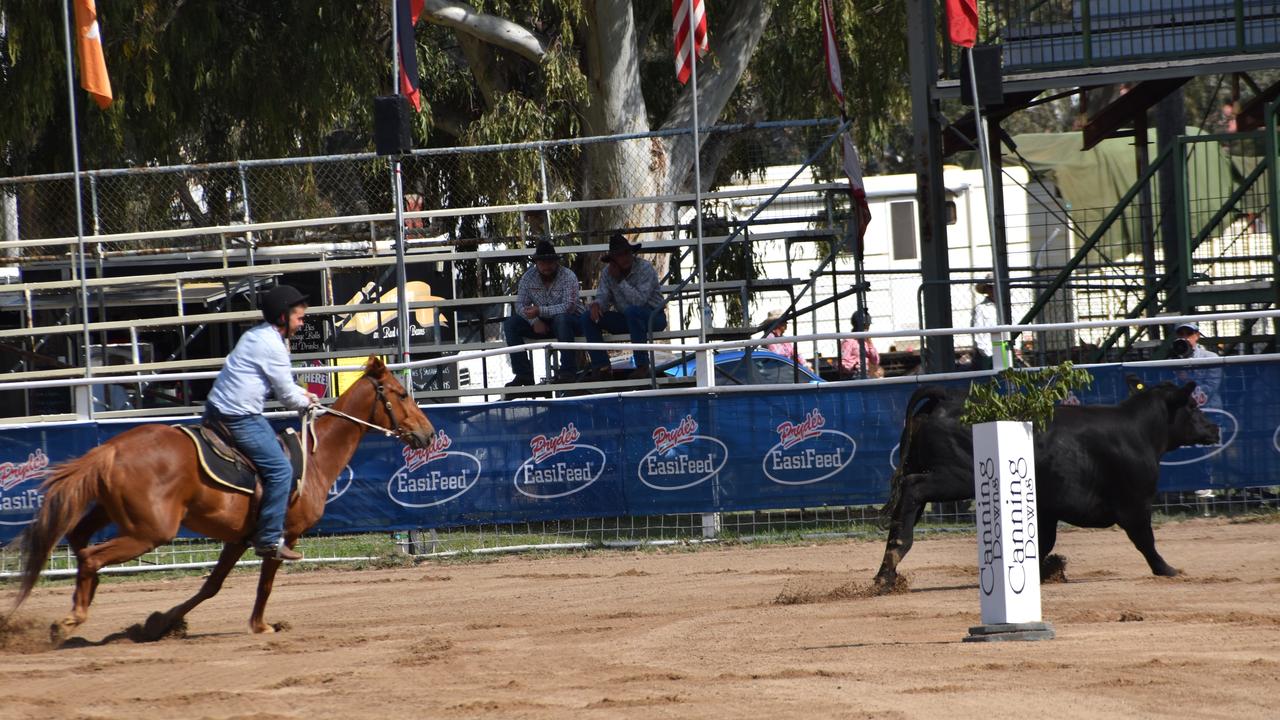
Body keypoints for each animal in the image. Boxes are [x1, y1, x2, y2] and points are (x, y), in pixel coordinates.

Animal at [8, 353, 435, 632]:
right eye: (399, 393)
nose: (428, 434)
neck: (315, 457)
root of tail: (110, 448)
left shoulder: (240, 537)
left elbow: (211, 586)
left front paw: (164, 622)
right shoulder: (282, 536)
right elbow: (265, 584)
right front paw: (260, 626)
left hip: (111, 513)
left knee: (79, 542)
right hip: (149, 531)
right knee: (91, 557)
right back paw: (72, 618)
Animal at [875, 376, 1223, 589]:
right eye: (1192, 406)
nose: (1214, 428)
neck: (1139, 432)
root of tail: (948, 397)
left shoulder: (1047, 509)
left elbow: (1043, 542)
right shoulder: (1135, 503)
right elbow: (1145, 540)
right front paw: (1167, 569)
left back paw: (887, 572)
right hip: (956, 476)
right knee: (913, 488)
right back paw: (895, 555)